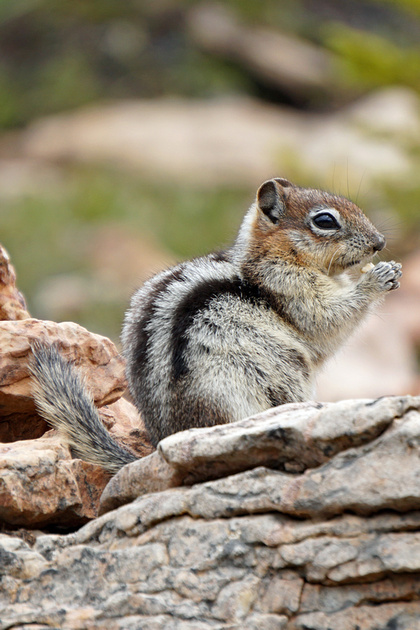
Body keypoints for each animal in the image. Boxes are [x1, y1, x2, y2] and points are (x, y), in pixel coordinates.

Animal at [31, 178, 402, 474]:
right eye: (325, 220)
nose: (380, 242)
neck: (272, 256)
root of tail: (164, 440)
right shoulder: (291, 288)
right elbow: (328, 320)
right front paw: (378, 278)